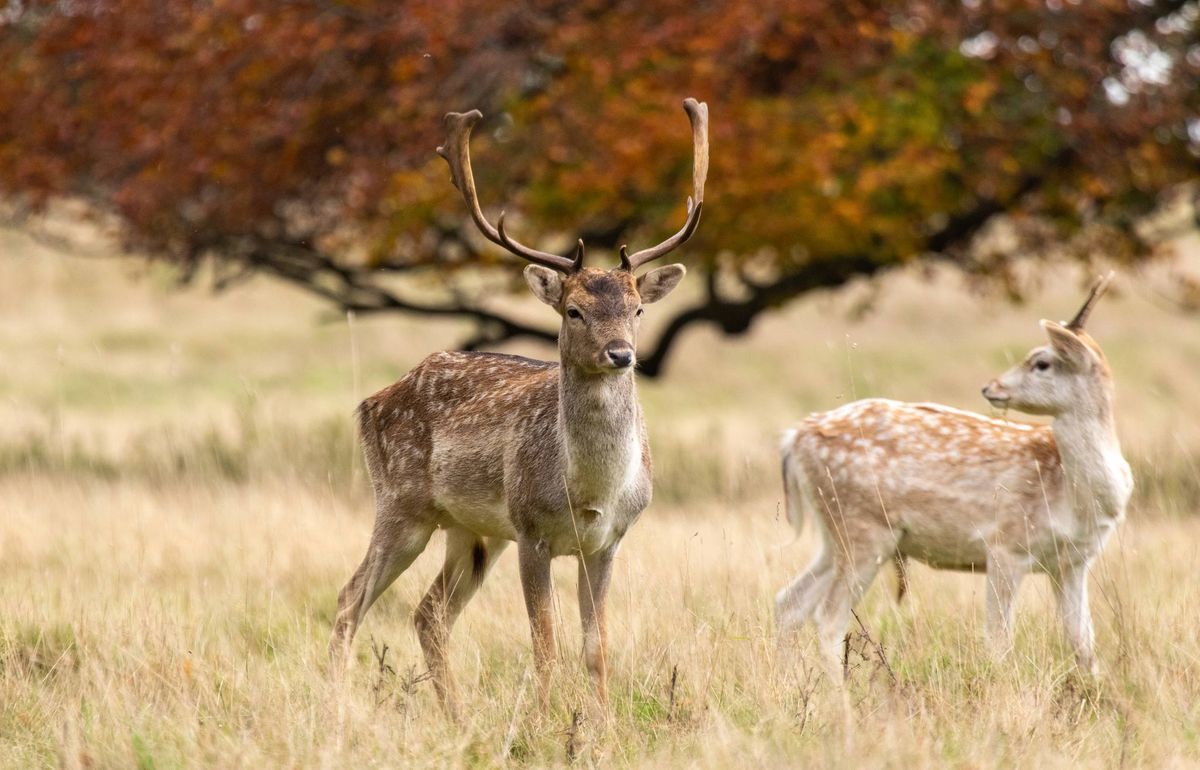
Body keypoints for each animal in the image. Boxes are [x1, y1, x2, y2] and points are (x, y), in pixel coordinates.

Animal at [328, 98, 705, 710]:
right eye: (573, 310)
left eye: (637, 309)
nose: (621, 354)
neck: (591, 495)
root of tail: (370, 402)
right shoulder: (532, 532)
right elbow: (544, 644)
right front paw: (547, 719)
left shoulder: (609, 541)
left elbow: (596, 649)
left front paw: (601, 723)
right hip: (401, 503)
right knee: (349, 598)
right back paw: (338, 705)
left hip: (474, 532)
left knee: (429, 613)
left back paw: (455, 715)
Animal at [772, 274, 1128, 676]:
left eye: (1042, 362)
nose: (991, 387)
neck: (1074, 494)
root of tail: (794, 438)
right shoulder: (1005, 545)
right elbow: (999, 639)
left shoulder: (1074, 562)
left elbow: (1082, 641)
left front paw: (1094, 686)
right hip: (864, 528)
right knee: (828, 616)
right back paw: (837, 692)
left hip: (835, 535)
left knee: (790, 603)